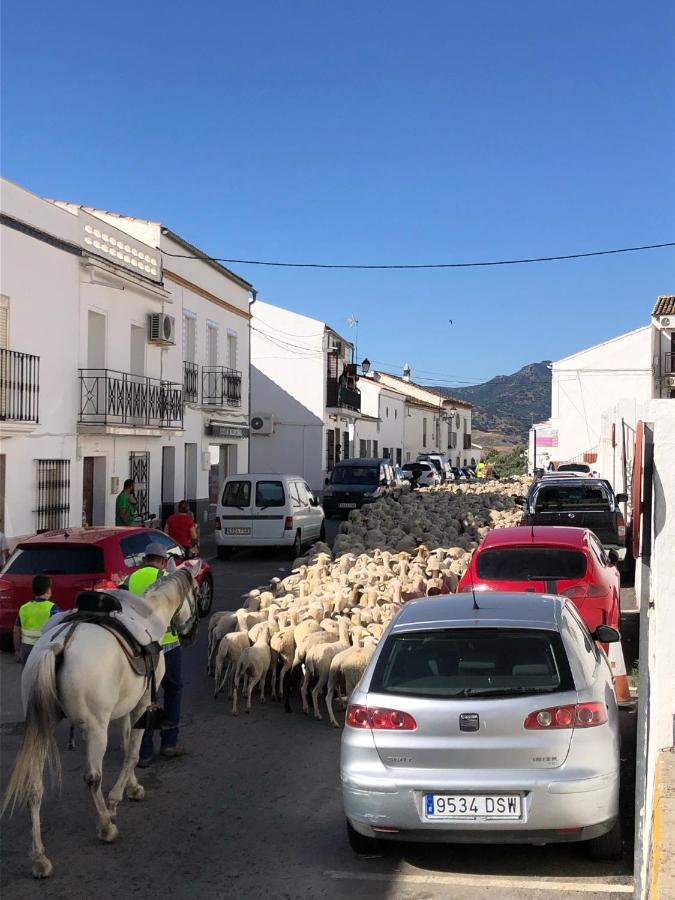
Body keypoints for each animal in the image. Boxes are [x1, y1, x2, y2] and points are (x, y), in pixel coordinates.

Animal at [1, 564, 201, 880]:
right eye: (196, 591)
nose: (191, 631)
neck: (150, 614)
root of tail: (60, 643)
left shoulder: (123, 708)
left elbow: (128, 744)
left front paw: (132, 788)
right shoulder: (141, 705)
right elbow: (133, 752)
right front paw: (116, 800)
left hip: (43, 726)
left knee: (34, 787)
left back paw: (40, 858)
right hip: (96, 728)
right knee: (92, 777)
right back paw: (106, 826)